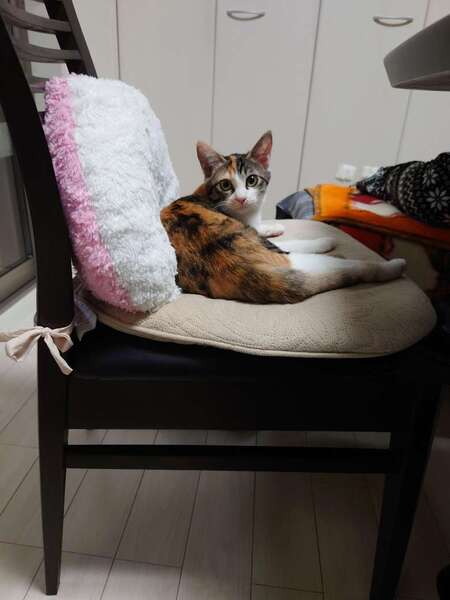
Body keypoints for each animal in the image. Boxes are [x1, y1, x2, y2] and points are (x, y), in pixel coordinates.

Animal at [160, 136, 406, 304]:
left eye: (251, 180)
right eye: (226, 185)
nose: (241, 199)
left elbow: (263, 228)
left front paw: (273, 226)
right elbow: (295, 241)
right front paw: (325, 241)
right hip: (293, 260)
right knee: (355, 266)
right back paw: (392, 266)